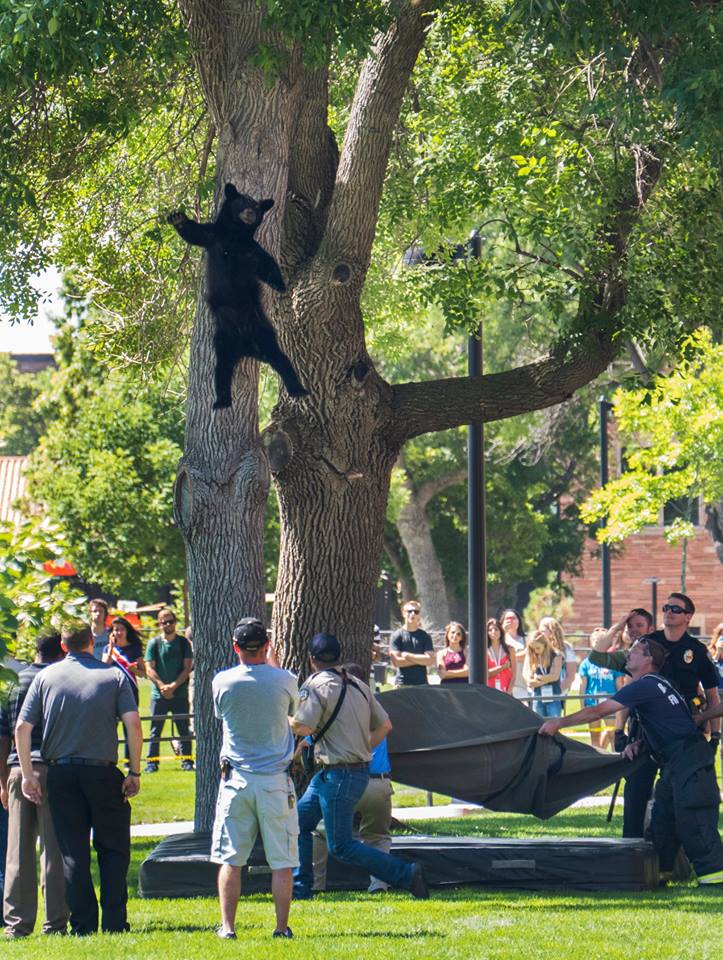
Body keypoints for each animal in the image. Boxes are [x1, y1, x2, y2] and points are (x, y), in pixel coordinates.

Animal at [167, 183, 308, 409]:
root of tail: (247, 347)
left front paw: (279, 284)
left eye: (258, 208)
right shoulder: (213, 237)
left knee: (280, 359)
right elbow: (194, 233)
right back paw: (221, 401)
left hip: (264, 332)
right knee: (222, 371)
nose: (251, 213)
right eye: (243, 202)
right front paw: (177, 218)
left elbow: (267, 263)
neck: (236, 236)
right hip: (223, 340)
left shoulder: (253, 250)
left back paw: (298, 389)